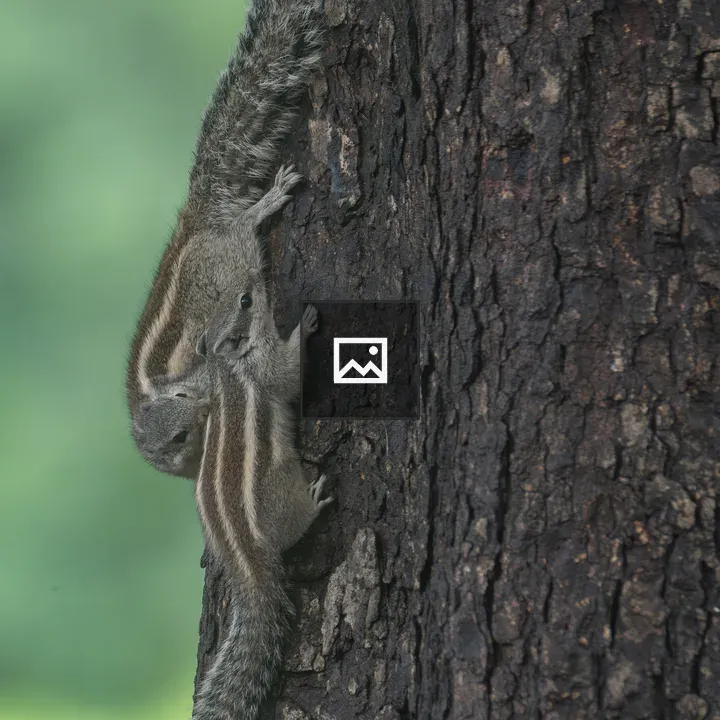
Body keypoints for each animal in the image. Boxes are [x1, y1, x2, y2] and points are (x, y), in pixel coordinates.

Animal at [126, 0, 325, 477]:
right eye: (174, 445)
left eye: (180, 430)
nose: (203, 411)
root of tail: (194, 222)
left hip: (231, 254)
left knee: (243, 229)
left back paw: (266, 203)